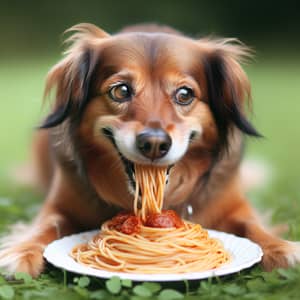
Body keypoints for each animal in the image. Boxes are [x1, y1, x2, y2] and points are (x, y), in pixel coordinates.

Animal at [1, 23, 298, 276]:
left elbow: (253, 225)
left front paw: (282, 248)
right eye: (121, 91)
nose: (154, 144)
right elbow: (46, 225)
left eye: (185, 94)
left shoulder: (235, 205)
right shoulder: (59, 204)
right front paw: (21, 252)